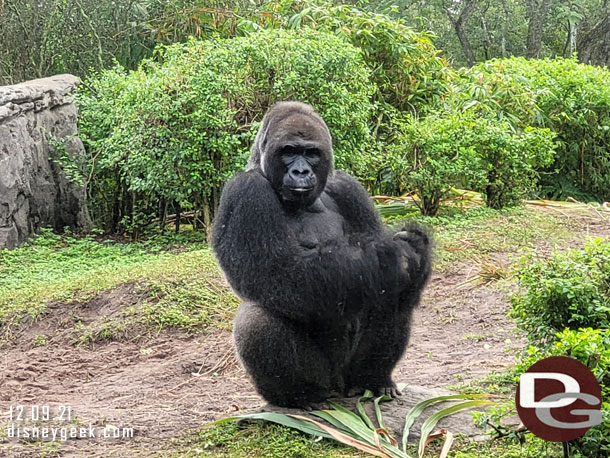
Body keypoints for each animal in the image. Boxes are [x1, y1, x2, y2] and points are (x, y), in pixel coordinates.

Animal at [211, 102, 430, 410]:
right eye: (289, 150)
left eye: (311, 153)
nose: (301, 171)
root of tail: (337, 387)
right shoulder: (245, 191)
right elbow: (277, 271)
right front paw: (387, 257)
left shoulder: (348, 187)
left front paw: (416, 247)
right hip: (321, 380)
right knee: (256, 318)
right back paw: (301, 395)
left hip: (348, 376)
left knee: (395, 294)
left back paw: (373, 379)